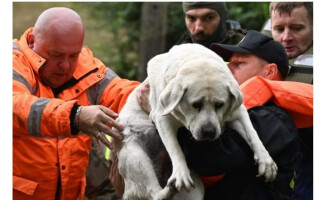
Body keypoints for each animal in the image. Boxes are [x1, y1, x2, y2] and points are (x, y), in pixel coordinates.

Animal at [113, 44, 276, 200]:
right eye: (196, 104)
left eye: (219, 104)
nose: (209, 131)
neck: (197, 59)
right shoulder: (162, 118)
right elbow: (175, 148)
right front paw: (180, 174)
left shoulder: (238, 112)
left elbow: (252, 133)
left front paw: (266, 161)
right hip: (135, 157)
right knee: (153, 193)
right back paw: (168, 189)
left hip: (196, 188)